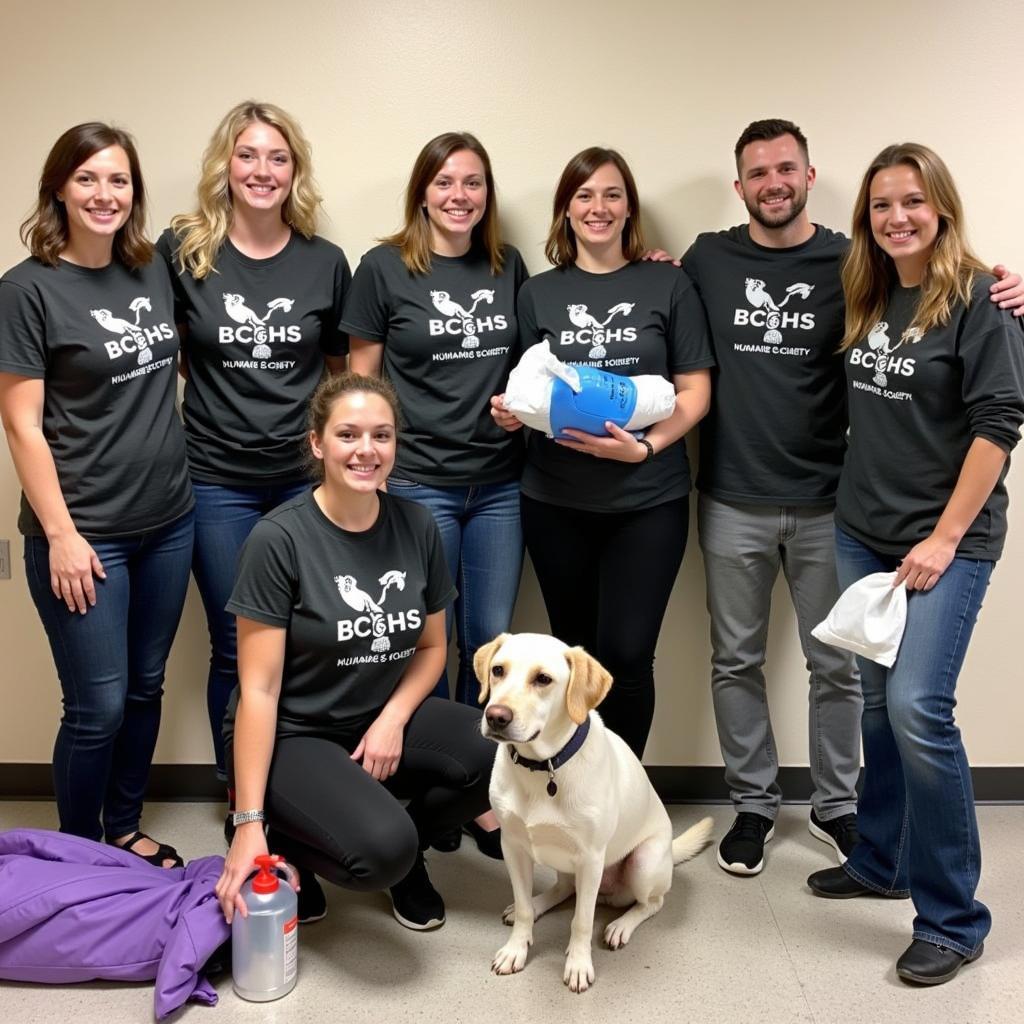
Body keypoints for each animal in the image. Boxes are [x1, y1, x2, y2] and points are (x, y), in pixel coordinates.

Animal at [473, 630, 708, 991]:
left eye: (543, 679)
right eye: (498, 670)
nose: (496, 716)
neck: (544, 766)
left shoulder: (591, 857)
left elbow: (582, 921)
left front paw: (578, 964)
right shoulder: (512, 847)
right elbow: (526, 908)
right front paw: (516, 948)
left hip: (642, 864)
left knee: (651, 903)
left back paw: (620, 926)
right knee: (562, 889)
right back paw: (537, 903)